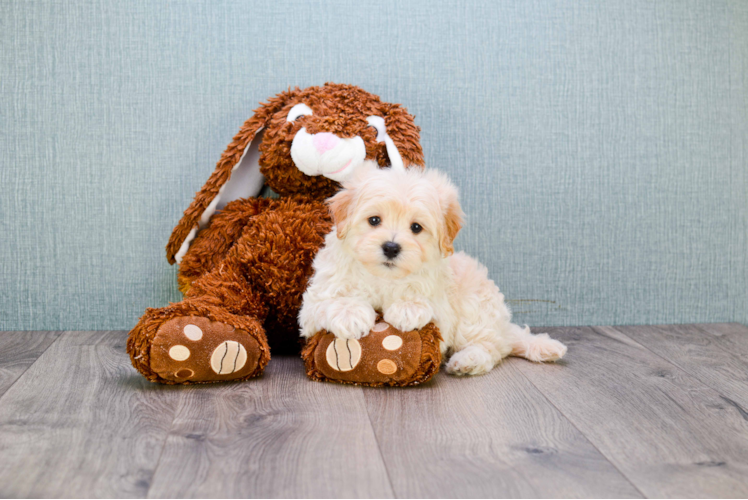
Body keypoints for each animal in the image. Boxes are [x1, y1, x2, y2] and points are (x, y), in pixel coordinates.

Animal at [298, 163, 568, 376]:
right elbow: (331, 300)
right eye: (374, 220)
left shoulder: (443, 307)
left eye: (416, 227)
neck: (384, 278)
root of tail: (503, 326)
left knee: (491, 347)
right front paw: (349, 314)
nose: (391, 247)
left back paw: (468, 361)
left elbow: (426, 303)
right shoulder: (314, 302)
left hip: (475, 308)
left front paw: (408, 308)